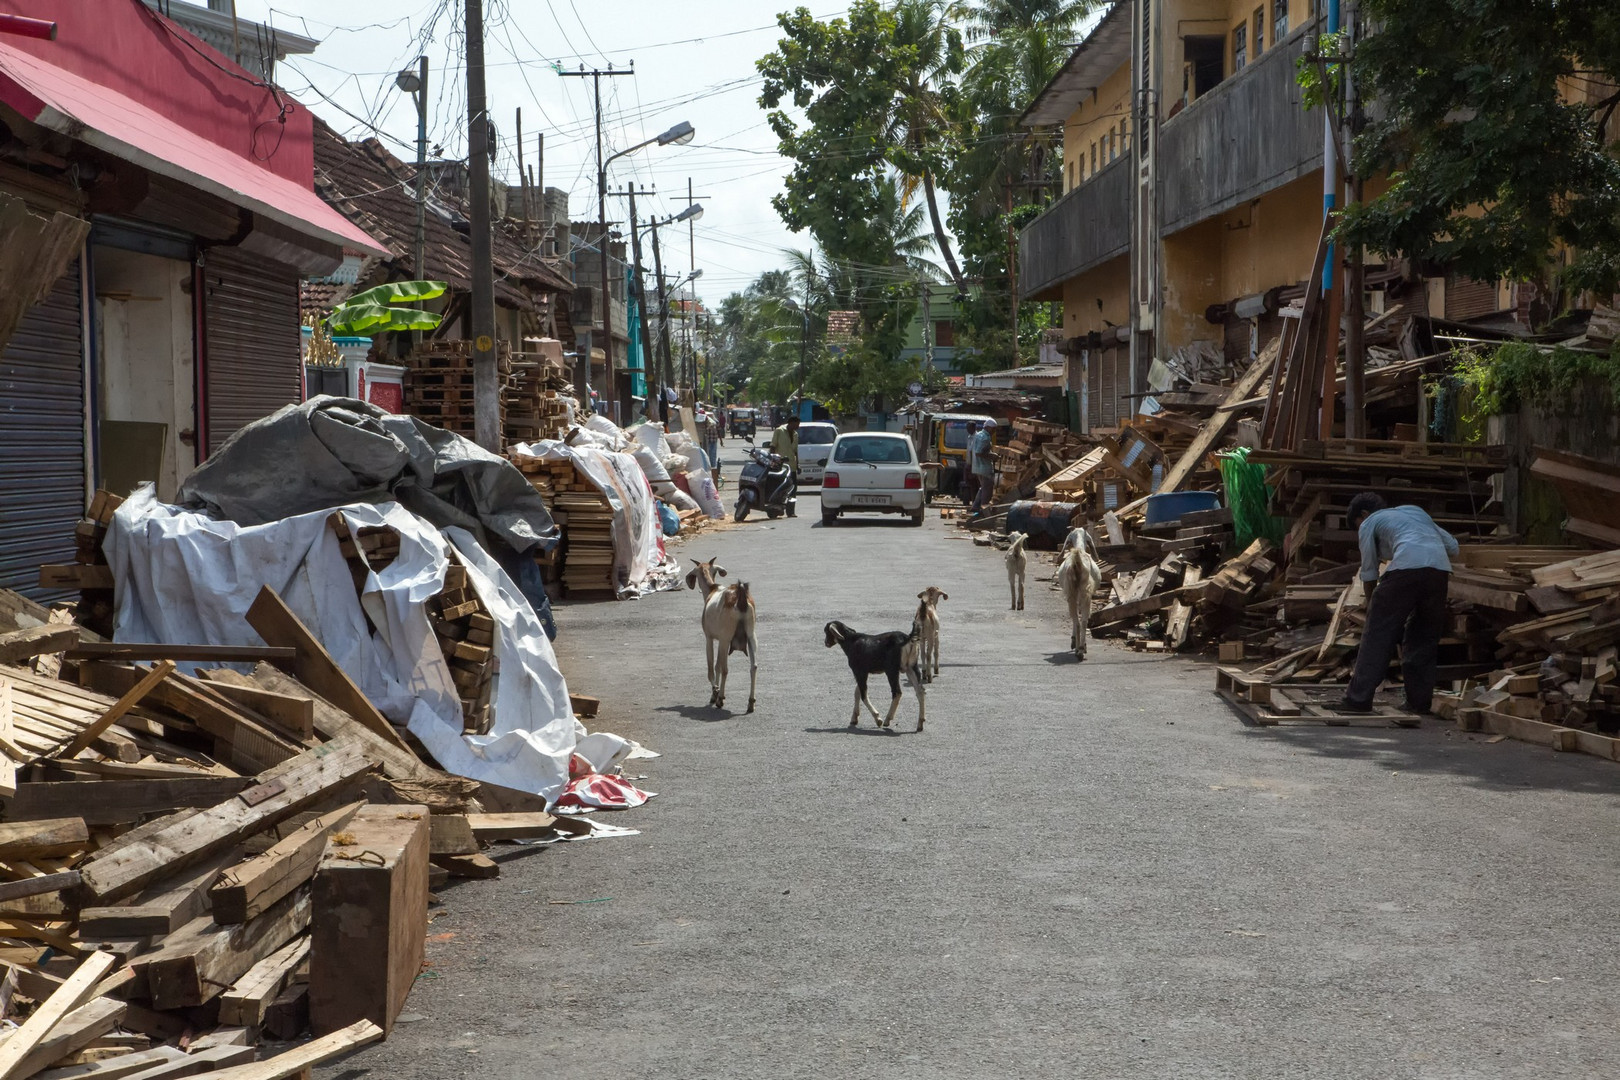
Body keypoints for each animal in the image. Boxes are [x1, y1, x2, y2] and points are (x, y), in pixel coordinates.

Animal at [683, 557, 758, 718]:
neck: (712, 590)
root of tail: (739, 597)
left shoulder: (710, 638)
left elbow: (712, 667)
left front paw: (715, 693)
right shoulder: (721, 639)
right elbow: (717, 664)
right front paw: (715, 694)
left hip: (726, 638)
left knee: (725, 668)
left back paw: (721, 698)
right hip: (751, 637)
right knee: (753, 666)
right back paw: (750, 703)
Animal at [1056, 524, 1108, 660]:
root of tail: (1077, 561)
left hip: (1073, 593)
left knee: (1078, 620)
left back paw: (1078, 648)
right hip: (1083, 593)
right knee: (1082, 621)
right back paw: (1080, 649)